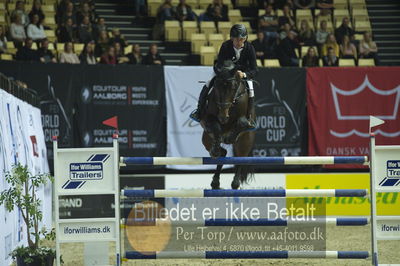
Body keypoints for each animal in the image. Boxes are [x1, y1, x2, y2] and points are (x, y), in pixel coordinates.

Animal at [200, 60, 256, 189]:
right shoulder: (208, 118)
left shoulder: (243, 119)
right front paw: (216, 149)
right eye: (216, 86)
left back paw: (235, 183)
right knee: (222, 153)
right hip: (206, 138)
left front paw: (230, 137)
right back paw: (215, 181)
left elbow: (242, 122)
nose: (223, 117)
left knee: (241, 158)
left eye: (234, 87)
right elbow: (216, 126)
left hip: (246, 140)